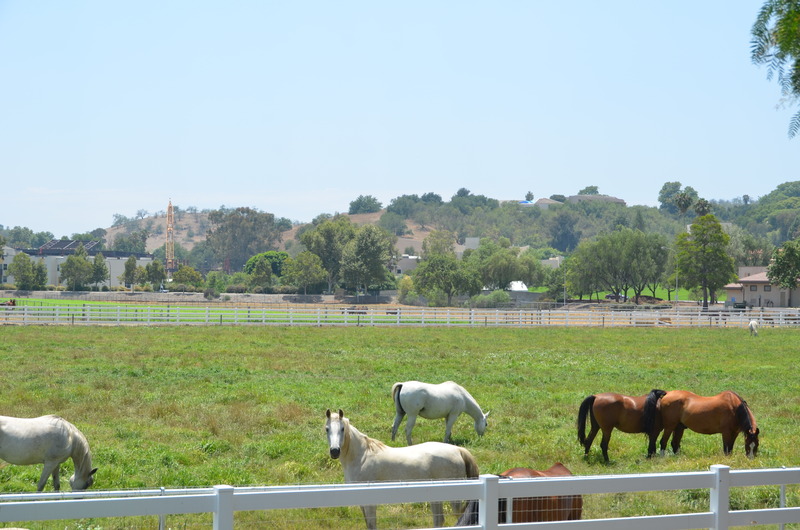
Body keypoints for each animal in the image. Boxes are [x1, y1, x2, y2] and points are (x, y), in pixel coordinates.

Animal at [326, 408, 482, 524]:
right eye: (327, 429)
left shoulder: (370, 502)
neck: (362, 456)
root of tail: (458, 450)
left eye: (342, 429)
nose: (334, 451)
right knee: (439, 520)